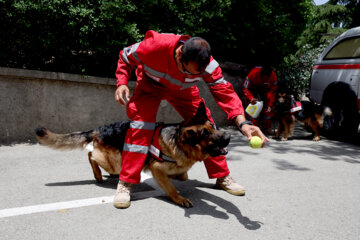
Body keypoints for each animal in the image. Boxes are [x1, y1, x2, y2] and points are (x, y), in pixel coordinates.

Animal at [34, 102, 231, 207]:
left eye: (213, 126)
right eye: (206, 134)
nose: (228, 136)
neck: (178, 141)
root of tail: (99, 129)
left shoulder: (176, 168)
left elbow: (183, 175)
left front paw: (178, 176)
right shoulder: (157, 168)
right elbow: (171, 187)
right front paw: (179, 198)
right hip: (112, 161)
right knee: (91, 155)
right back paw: (98, 175)